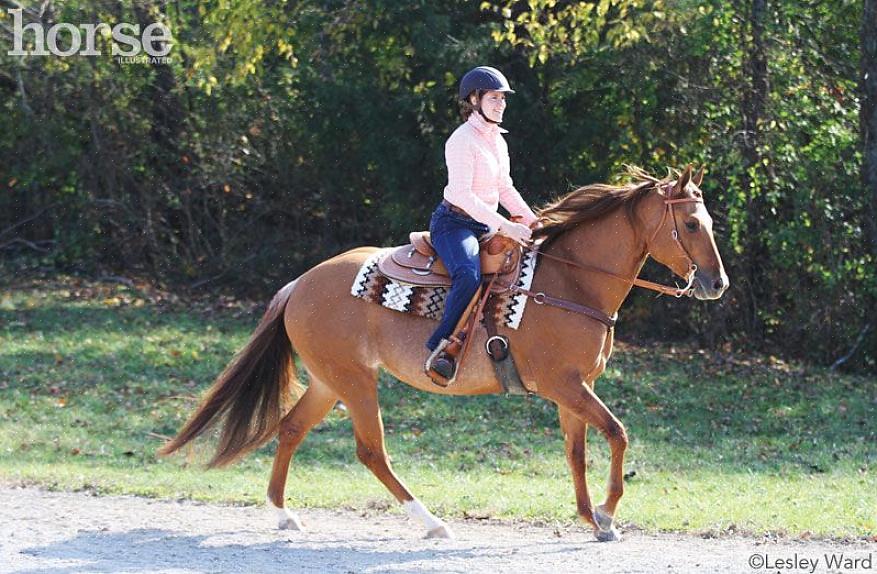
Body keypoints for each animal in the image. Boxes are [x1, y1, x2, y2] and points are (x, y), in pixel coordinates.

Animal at [157, 164, 724, 544]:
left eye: (709, 221)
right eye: (692, 224)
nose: (717, 284)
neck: (572, 282)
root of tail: (300, 283)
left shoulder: (573, 389)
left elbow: (577, 452)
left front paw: (592, 519)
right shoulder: (565, 384)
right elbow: (618, 433)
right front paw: (607, 513)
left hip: (328, 380)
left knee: (292, 429)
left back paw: (282, 514)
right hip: (355, 382)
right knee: (372, 452)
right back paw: (431, 522)